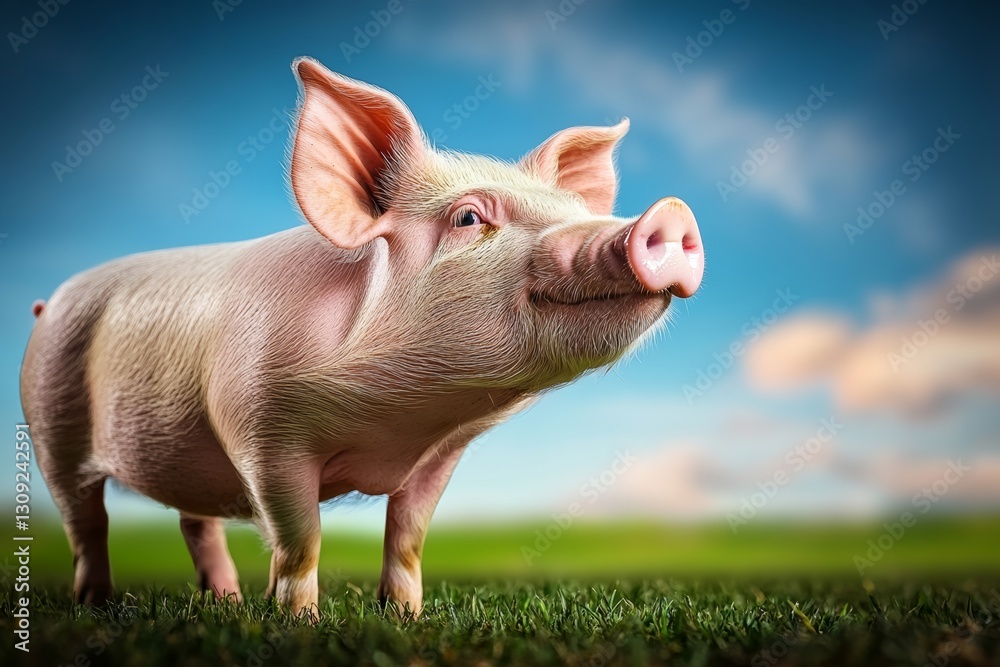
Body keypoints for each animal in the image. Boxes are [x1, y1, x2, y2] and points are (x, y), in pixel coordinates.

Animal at [20, 57, 704, 617]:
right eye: (469, 218)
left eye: (574, 210)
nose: (670, 212)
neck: (402, 423)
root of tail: (48, 303)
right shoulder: (262, 432)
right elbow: (300, 539)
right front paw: (300, 622)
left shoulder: (440, 457)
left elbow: (408, 536)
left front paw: (405, 617)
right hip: (51, 423)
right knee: (87, 523)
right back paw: (98, 605)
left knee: (196, 523)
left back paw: (226, 602)